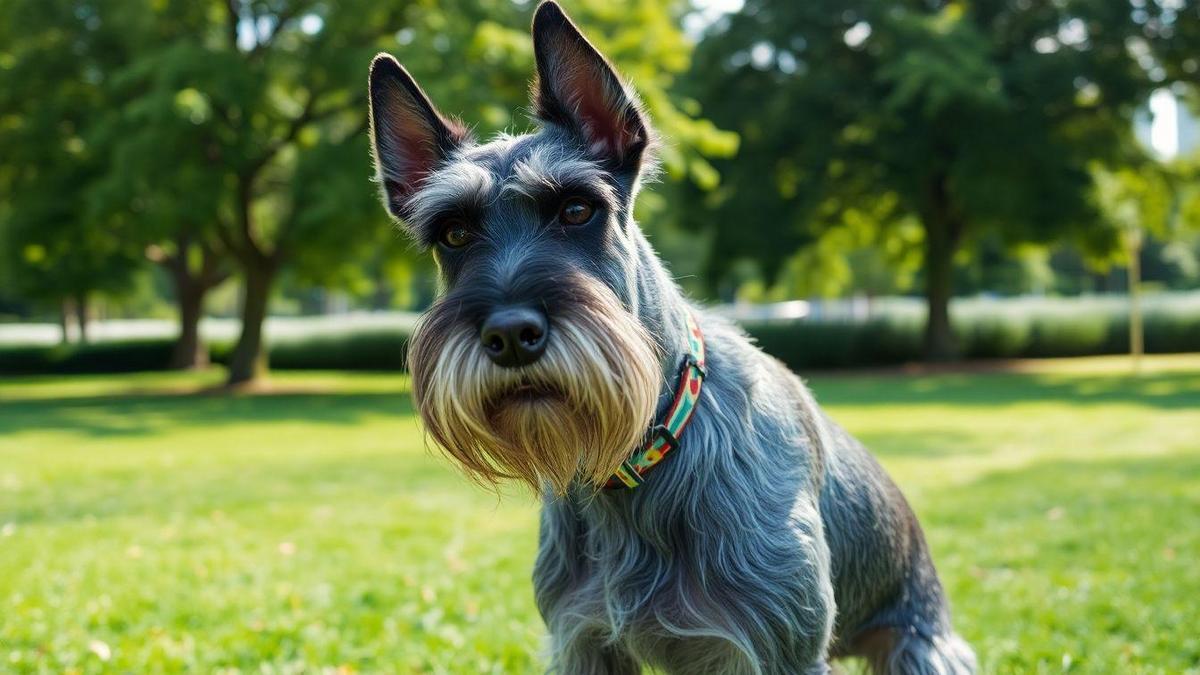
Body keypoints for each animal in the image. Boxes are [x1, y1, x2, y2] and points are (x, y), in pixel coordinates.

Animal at [364, 2, 974, 667]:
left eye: (577, 209)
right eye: (452, 233)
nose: (509, 334)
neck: (641, 461)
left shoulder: (779, 649)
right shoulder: (583, 642)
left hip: (920, 648)